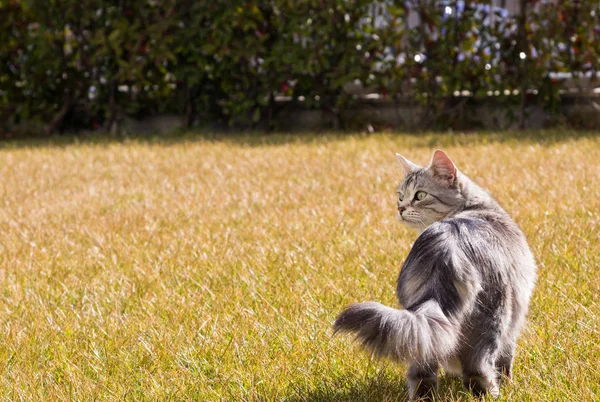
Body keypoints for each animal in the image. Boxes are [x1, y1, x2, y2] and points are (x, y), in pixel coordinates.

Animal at [336, 150, 536, 398]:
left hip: (418, 329)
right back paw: (493, 394)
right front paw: (509, 383)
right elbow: (506, 361)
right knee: (479, 371)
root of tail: (447, 245)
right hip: (494, 320)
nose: (400, 208)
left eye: (419, 195)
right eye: (401, 196)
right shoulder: (516, 317)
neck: (475, 206)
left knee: (422, 371)